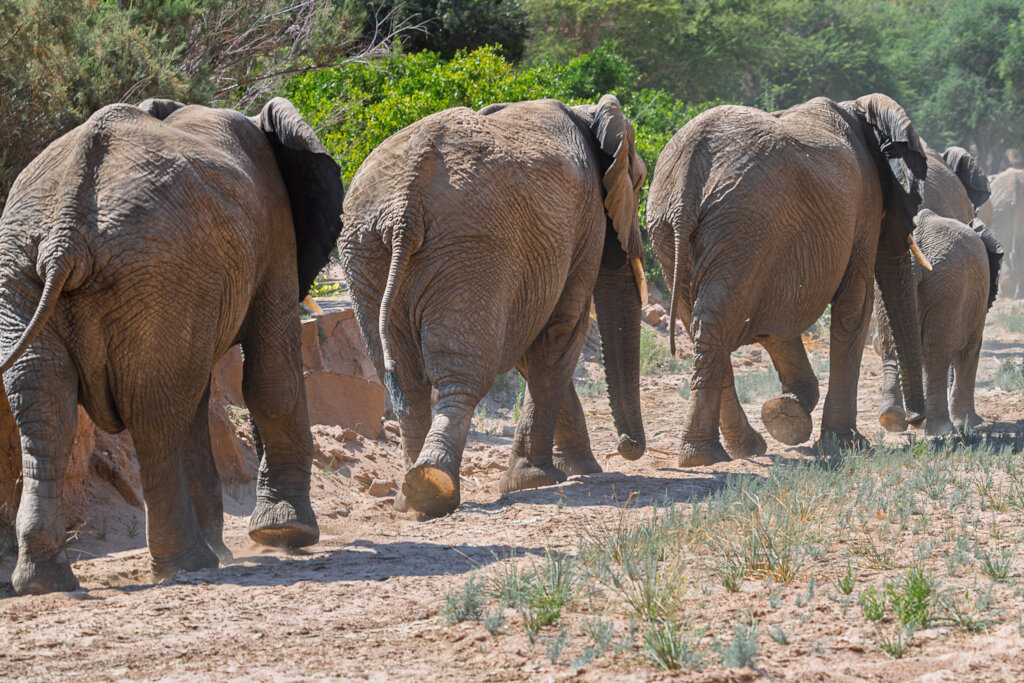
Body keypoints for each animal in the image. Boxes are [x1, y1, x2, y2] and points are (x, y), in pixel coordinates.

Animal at [0, 97, 343, 595]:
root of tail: (66, 232)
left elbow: (200, 401)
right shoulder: (275, 230)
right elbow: (270, 377)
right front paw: (287, 534)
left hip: (31, 274)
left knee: (47, 413)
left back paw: (45, 582)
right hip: (157, 274)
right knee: (154, 417)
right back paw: (189, 563)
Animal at [341, 94, 647, 517]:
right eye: (641, 181)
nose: (628, 447)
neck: (586, 112)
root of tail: (406, 201)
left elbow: (530, 348)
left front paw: (577, 470)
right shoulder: (585, 223)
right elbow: (560, 332)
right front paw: (536, 480)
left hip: (367, 250)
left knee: (405, 378)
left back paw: (410, 498)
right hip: (474, 247)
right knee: (462, 371)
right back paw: (435, 488)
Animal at [646, 94, 929, 466]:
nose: (914, 420)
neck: (857, 109)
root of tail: (686, 174)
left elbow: (778, 324)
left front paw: (788, 414)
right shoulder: (865, 206)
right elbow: (855, 306)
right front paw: (846, 442)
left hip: (675, 229)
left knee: (702, 323)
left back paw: (735, 449)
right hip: (744, 224)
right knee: (718, 322)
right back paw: (707, 456)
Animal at [874, 146, 1002, 435]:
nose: (914, 419)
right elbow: (969, 349)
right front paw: (970, 422)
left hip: (910, 286)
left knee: (892, 343)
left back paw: (894, 419)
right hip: (950, 285)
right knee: (936, 352)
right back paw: (941, 428)